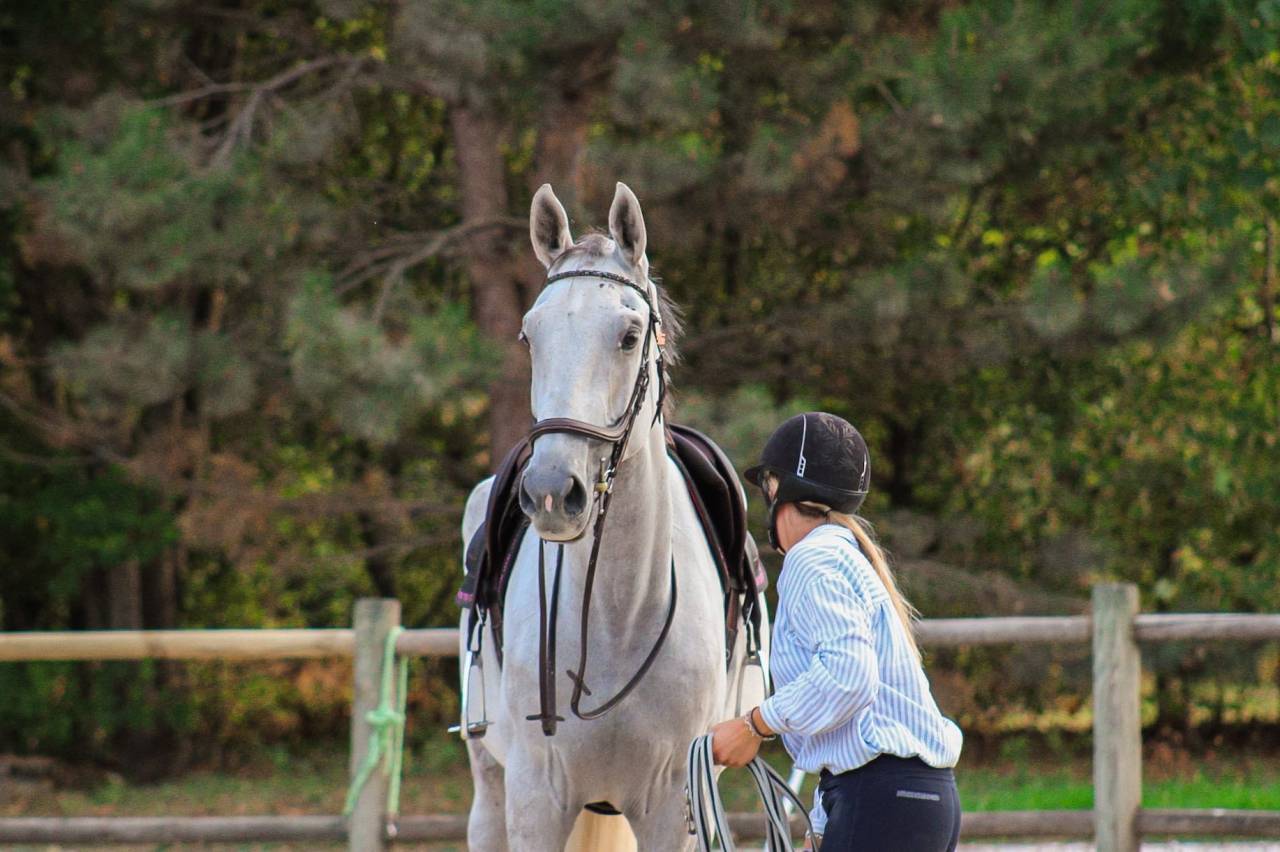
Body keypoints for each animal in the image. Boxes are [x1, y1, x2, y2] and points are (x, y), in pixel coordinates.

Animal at [458, 182, 770, 850]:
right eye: (530, 336)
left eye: (628, 337)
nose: (553, 490)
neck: (618, 612)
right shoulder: (536, 800)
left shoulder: (672, 806)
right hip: (491, 784)